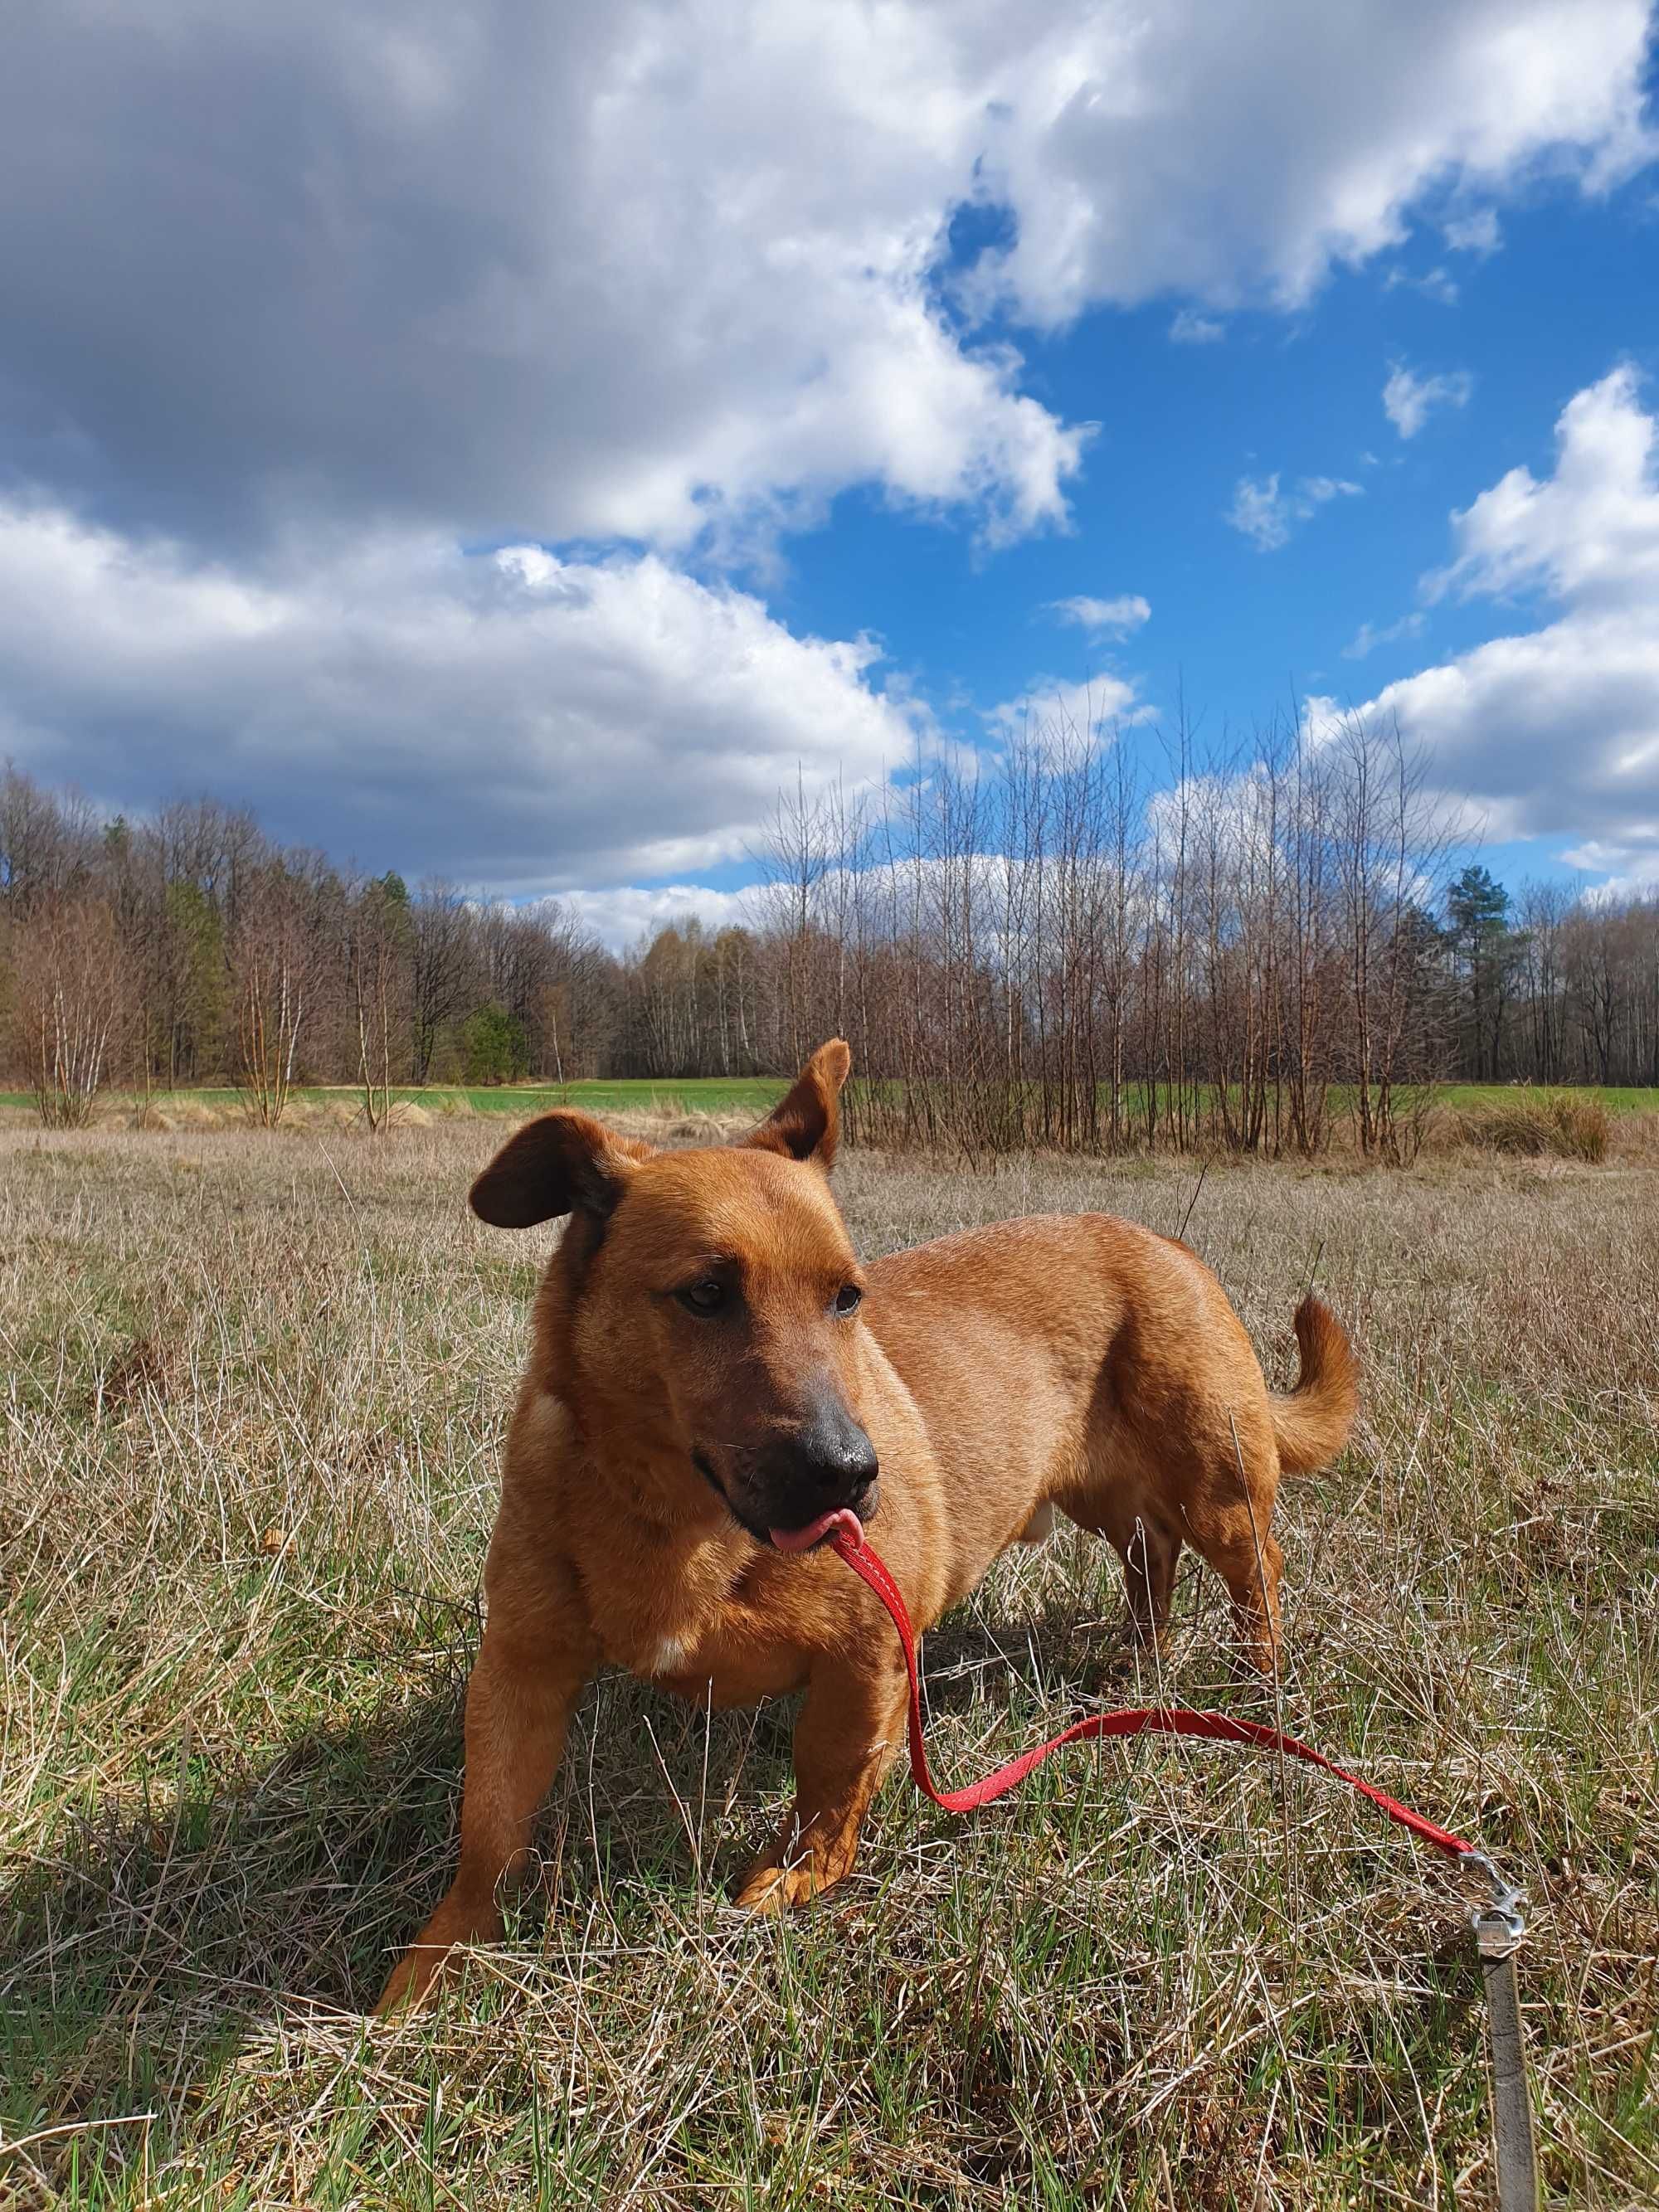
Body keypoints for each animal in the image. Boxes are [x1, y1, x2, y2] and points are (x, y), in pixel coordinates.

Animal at [380, 1035, 1362, 2008]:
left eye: (846, 1296)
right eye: (705, 1294)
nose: (853, 1474)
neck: (682, 1521)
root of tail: (1165, 1242)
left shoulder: (868, 1657)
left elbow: (828, 1778)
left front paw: (798, 1874)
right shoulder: (520, 1666)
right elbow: (489, 1832)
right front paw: (436, 1964)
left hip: (1216, 1489)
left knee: (1255, 1574)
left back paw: (1255, 1681)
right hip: (1109, 1502)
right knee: (1149, 1563)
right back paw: (1138, 1662)